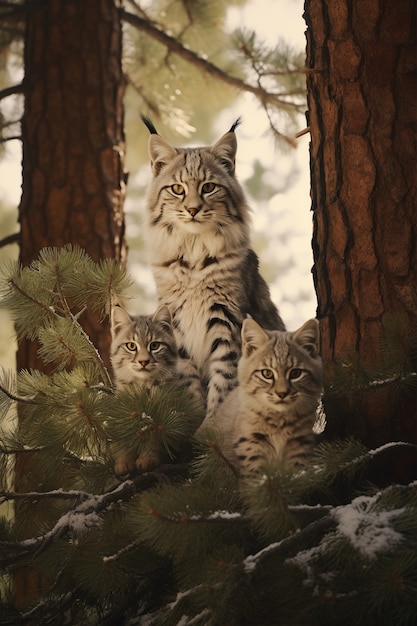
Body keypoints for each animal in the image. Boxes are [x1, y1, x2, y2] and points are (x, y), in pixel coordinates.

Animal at [109, 304, 176, 472]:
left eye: (155, 346)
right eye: (131, 346)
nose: (144, 361)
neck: (142, 385)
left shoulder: (160, 419)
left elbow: (152, 438)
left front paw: (147, 459)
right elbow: (122, 438)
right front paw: (123, 462)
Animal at [142, 117, 282, 420]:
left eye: (208, 187)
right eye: (177, 189)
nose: (193, 210)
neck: (194, 256)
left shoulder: (227, 321)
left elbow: (223, 385)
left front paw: (211, 428)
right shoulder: (177, 322)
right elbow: (189, 384)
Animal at [206, 316, 322, 478]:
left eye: (295, 374)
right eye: (267, 374)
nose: (282, 393)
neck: (280, 421)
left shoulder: (300, 444)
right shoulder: (251, 445)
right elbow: (255, 478)